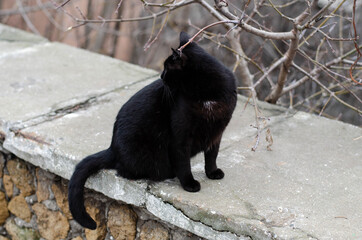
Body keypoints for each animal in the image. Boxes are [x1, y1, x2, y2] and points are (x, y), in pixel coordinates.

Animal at [68, 31, 238, 229]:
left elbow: (212, 156)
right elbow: (183, 162)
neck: (207, 95)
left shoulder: (216, 133)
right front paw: (189, 183)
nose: (161, 76)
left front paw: (212, 173)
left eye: (167, 68)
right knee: (124, 170)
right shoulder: (180, 137)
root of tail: (112, 148)